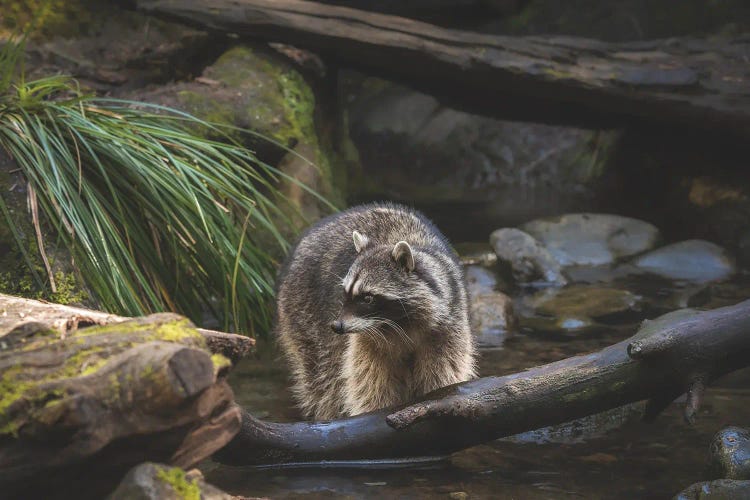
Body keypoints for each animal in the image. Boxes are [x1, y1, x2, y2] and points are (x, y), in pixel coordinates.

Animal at [274, 201, 476, 420]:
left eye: (368, 298)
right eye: (345, 293)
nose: (336, 326)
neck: (401, 323)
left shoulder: (448, 325)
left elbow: (442, 377)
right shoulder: (365, 342)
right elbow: (371, 385)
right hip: (303, 313)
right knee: (324, 380)